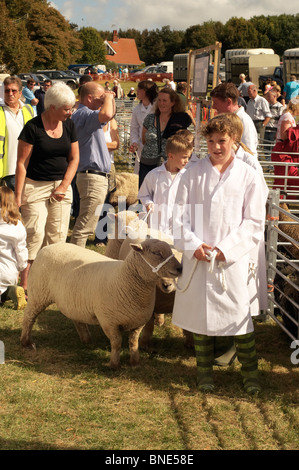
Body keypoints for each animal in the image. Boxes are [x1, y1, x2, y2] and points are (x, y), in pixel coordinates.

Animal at [21, 239, 183, 368]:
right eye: (156, 253)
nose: (180, 268)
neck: (124, 279)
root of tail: (49, 247)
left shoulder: (138, 323)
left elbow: (133, 343)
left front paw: (135, 362)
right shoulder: (108, 322)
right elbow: (117, 343)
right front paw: (114, 364)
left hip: (73, 299)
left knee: (76, 319)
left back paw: (86, 339)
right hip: (38, 294)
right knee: (29, 317)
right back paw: (26, 342)